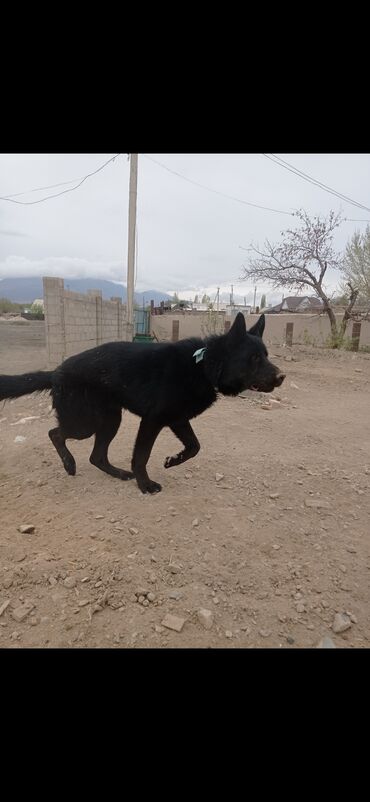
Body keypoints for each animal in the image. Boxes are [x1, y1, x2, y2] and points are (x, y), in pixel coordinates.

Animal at [0, 314, 286, 490]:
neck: (204, 365)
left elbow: (195, 446)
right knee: (55, 433)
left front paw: (173, 460)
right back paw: (69, 464)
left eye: (266, 355)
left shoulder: (178, 420)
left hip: (110, 420)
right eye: (254, 358)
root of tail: (55, 372)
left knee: (96, 456)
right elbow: (141, 455)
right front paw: (145, 484)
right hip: (86, 424)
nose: (282, 377)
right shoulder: (152, 421)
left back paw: (116, 473)